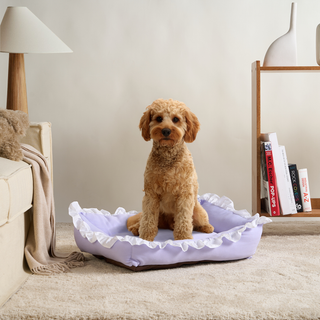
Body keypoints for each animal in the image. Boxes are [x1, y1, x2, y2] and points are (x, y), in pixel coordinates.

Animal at [126, 99, 214, 241]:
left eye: (176, 119)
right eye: (159, 118)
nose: (166, 130)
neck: (168, 156)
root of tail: (168, 224)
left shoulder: (184, 194)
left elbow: (184, 218)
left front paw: (183, 238)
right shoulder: (151, 194)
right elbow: (148, 218)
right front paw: (146, 236)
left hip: (198, 212)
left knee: (197, 222)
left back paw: (207, 227)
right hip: (159, 213)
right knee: (143, 219)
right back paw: (136, 228)